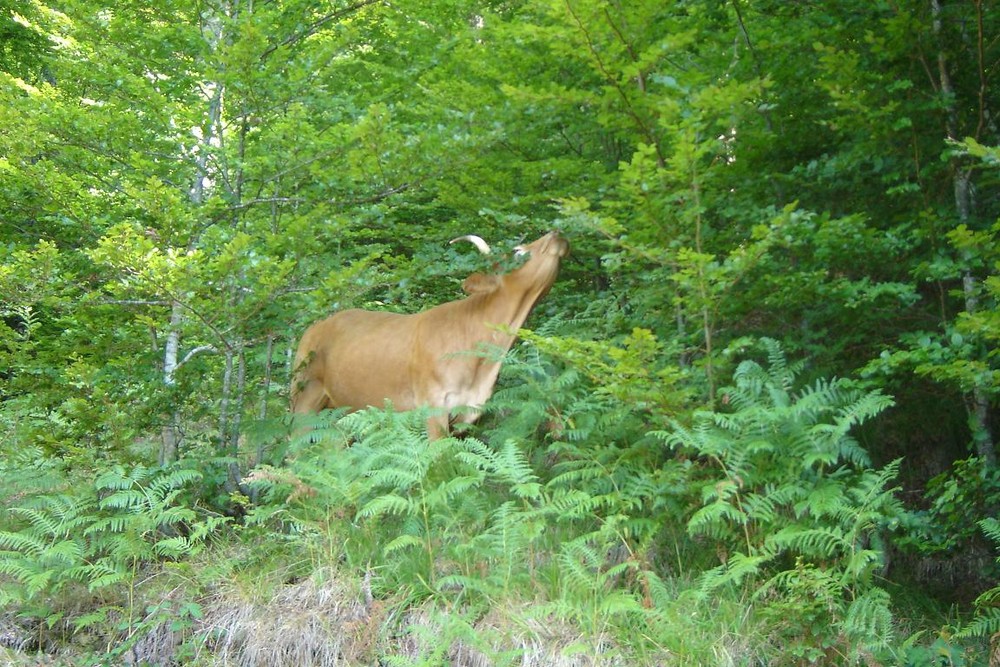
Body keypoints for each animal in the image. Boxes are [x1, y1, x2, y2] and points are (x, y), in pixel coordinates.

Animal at [292, 230, 572, 438]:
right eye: (516, 251)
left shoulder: (467, 414)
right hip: (303, 399)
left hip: (339, 409)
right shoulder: (433, 407)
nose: (557, 233)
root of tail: (314, 327)